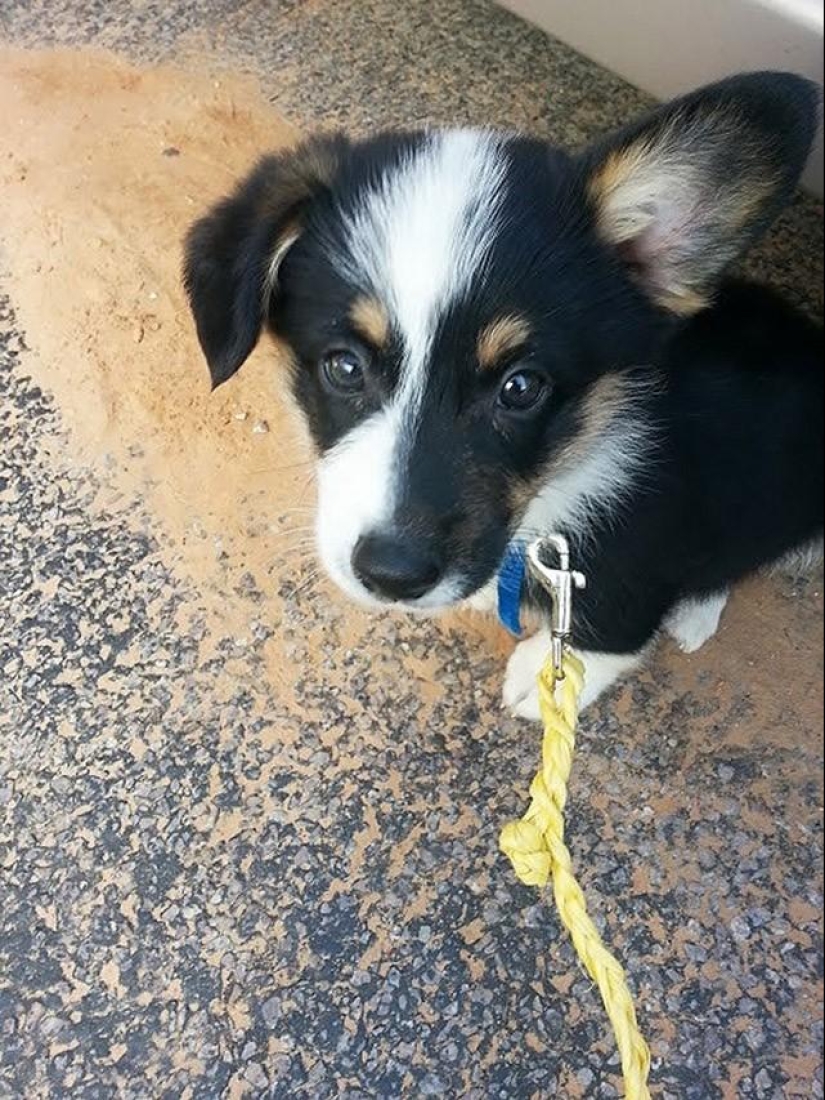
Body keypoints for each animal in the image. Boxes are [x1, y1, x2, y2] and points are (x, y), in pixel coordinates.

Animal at [183, 75, 822, 712]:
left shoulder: (636, 566)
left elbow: (601, 640)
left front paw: (544, 682)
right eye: (343, 367)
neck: (563, 480)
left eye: (521, 387)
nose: (394, 575)